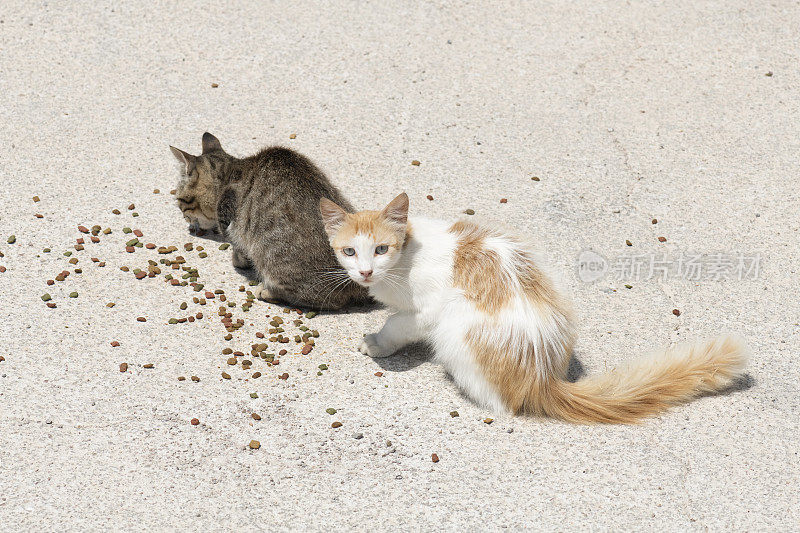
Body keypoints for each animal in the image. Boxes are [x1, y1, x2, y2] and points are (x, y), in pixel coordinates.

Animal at [171, 131, 368, 310]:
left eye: (179, 200)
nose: (186, 220)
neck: (229, 172)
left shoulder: (231, 225)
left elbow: (238, 249)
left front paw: (238, 261)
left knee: (326, 300)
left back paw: (267, 291)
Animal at [318, 193, 752, 422]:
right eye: (349, 251)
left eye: (381, 248)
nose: (366, 272)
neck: (408, 253)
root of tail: (543, 378)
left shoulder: (426, 310)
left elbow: (397, 323)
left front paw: (376, 343)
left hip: (454, 325)